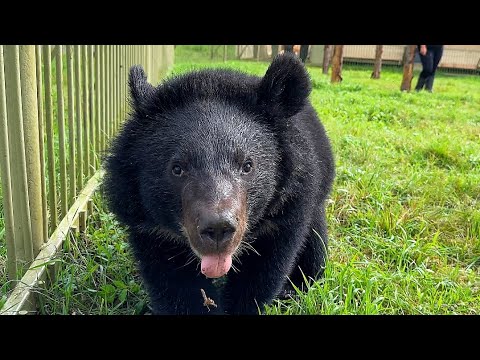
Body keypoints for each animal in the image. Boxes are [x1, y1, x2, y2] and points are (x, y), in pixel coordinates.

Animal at [102, 52, 334, 314]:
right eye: (177, 169)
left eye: (247, 166)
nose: (218, 228)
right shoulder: (150, 225)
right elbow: (172, 282)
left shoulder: (288, 206)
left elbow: (263, 270)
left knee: (315, 241)